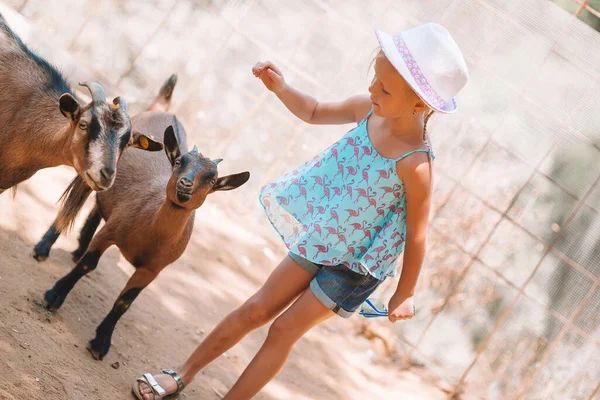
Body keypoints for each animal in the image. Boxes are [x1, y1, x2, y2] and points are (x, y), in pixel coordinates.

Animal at [41, 111, 250, 360]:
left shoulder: (153, 269)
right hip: (93, 168)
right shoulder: (109, 233)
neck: (150, 233)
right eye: (178, 162)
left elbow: (125, 301)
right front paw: (54, 296)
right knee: (73, 205)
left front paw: (101, 342)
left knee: (97, 208)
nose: (185, 184)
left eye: (211, 180)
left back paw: (79, 247)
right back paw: (43, 248)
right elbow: (87, 265)